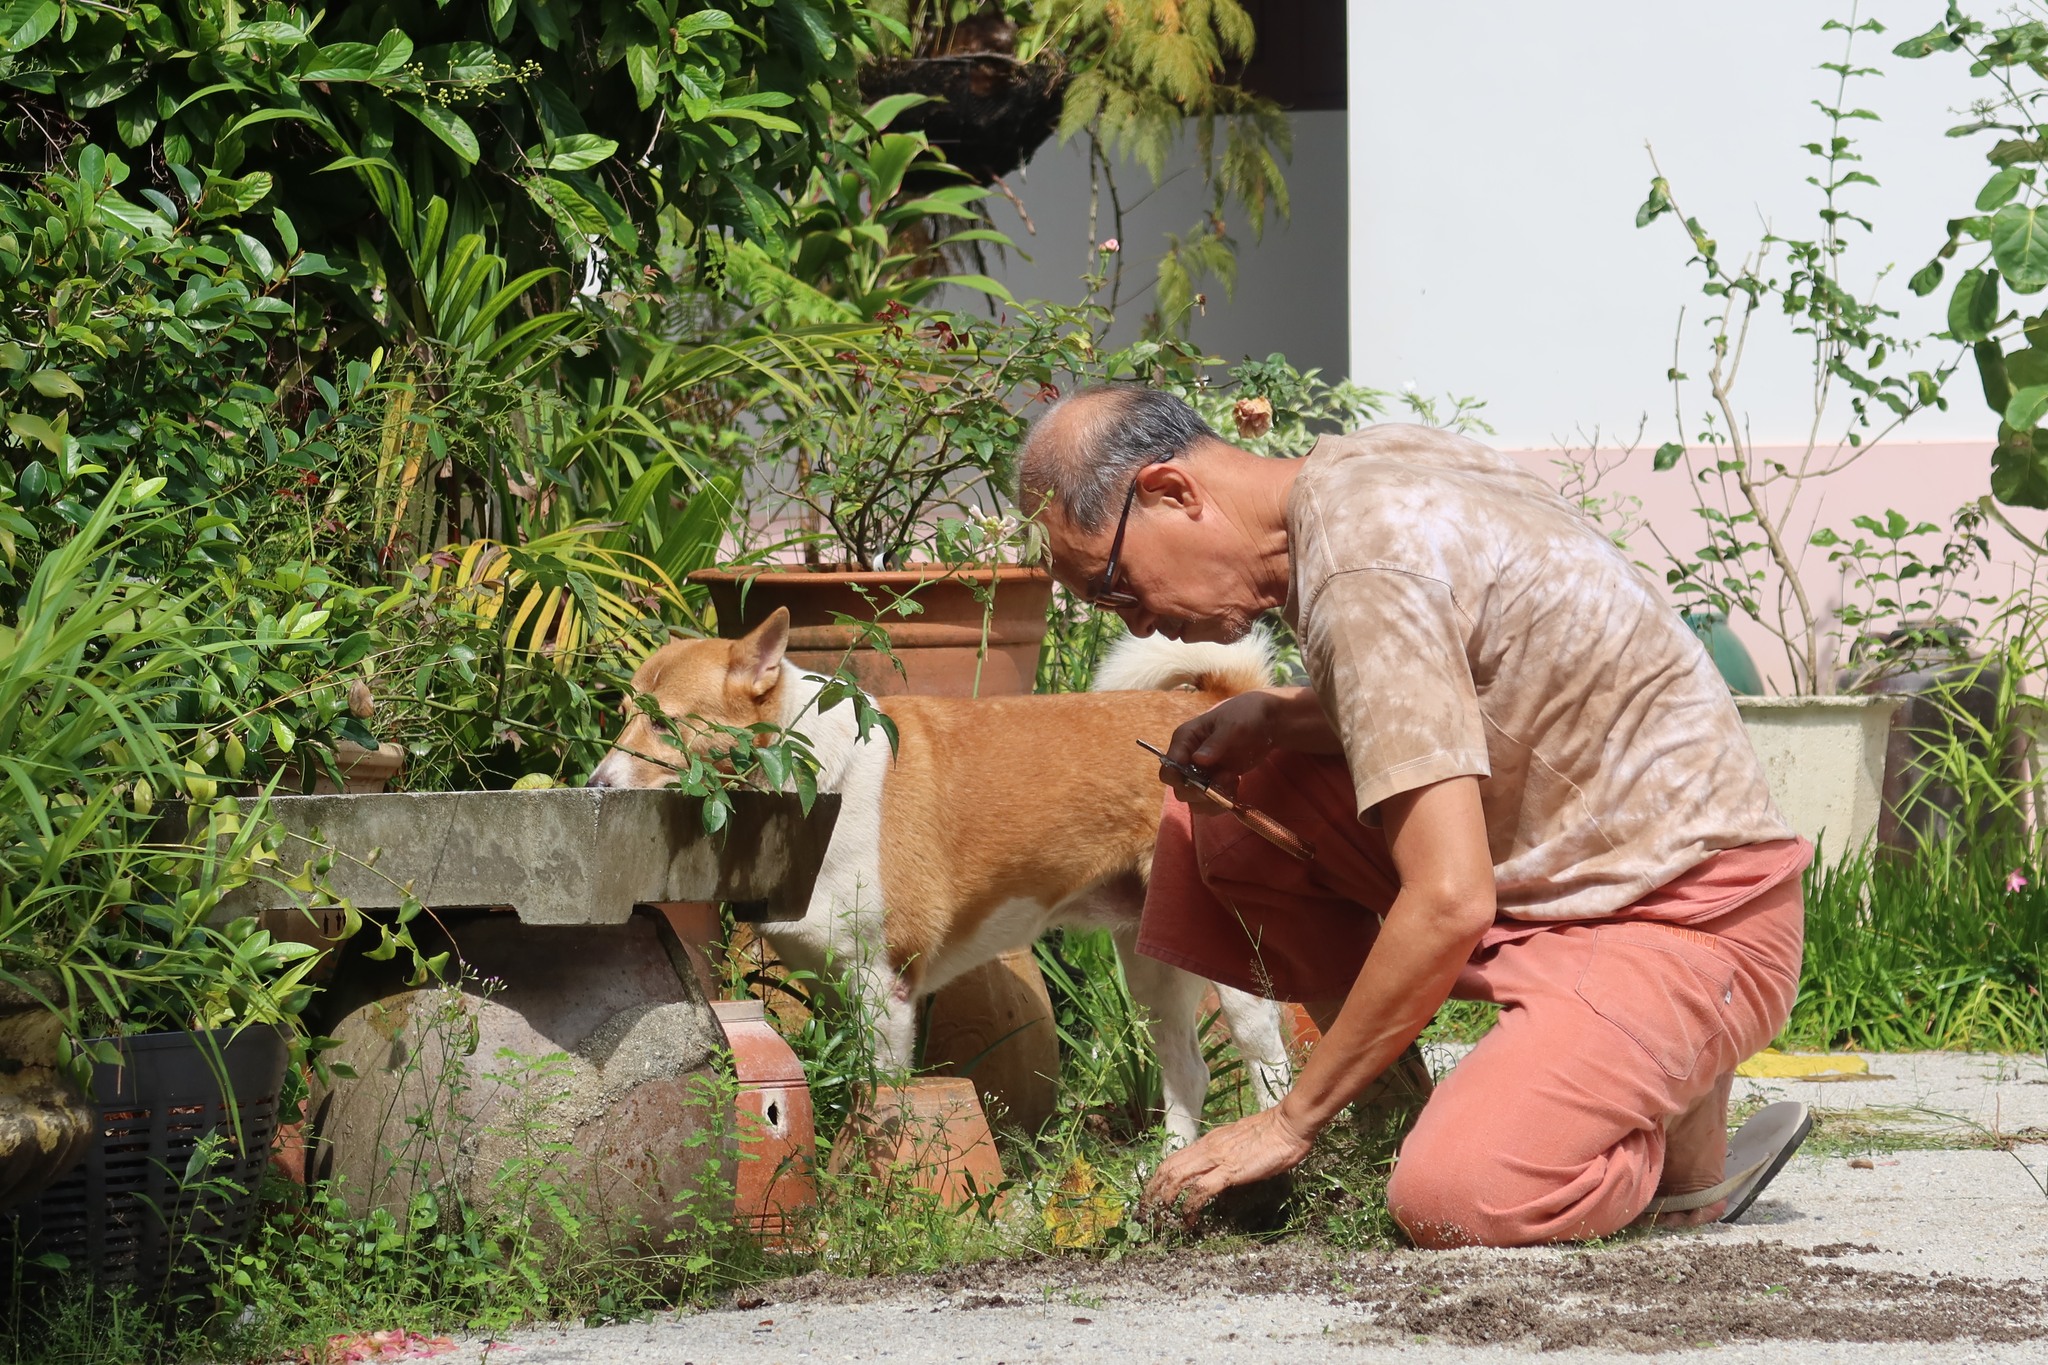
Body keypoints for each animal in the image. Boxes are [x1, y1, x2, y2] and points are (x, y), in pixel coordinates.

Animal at [587, 609, 1292, 1146]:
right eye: (621, 714)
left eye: (666, 722)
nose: (596, 786)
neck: (815, 781)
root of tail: (1215, 702)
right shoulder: (836, 987)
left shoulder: (885, 987)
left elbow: (883, 1101)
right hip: (1150, 968)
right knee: (1189, 1073)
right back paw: (1166, 1170)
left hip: (1235, 975)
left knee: (1272, 1072)